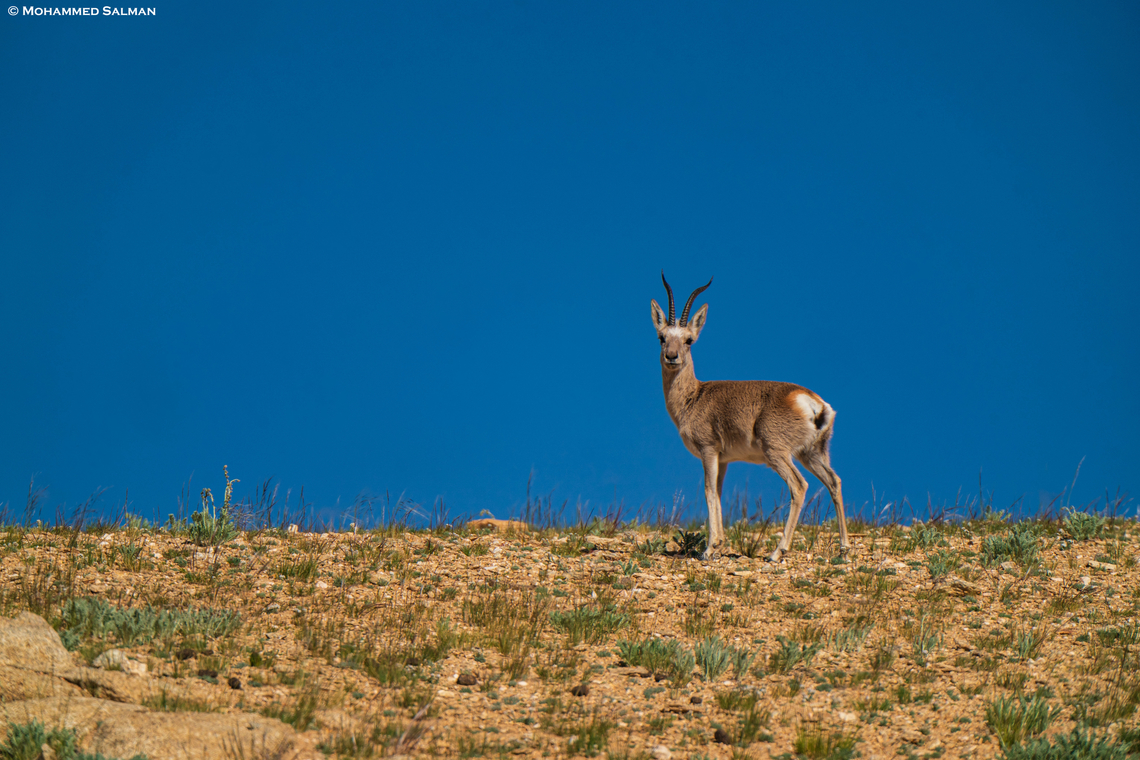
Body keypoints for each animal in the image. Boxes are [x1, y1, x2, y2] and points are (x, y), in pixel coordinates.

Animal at [651, 273, 849, 562]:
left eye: (689, 339)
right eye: (661, 337)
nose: (671, 357)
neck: (695, 396)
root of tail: (812, 401)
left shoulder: (708, 451)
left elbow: (708, 492)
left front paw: (708, 549)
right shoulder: (723, 460)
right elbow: (718, 493)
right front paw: (718, 544)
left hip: (777, 453)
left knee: (799, 486)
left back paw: (777, 552)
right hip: (812, 454)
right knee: (834, 481)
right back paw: (844, 549)